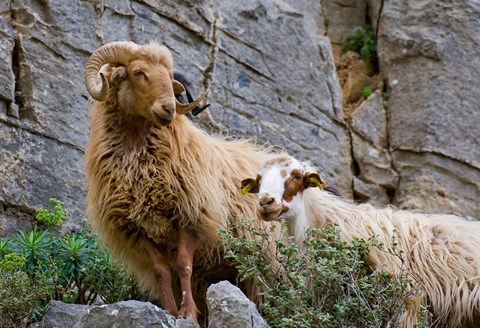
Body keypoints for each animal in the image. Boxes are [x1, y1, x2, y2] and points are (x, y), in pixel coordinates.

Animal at [84, 41, 284, 320]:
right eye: (137, 72)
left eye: (170, 78)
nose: (169, 109)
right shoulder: (143, 228)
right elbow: (162, 270)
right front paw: (170, 310)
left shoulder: (191, 216)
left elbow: (183, 265)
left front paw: (187, 312)